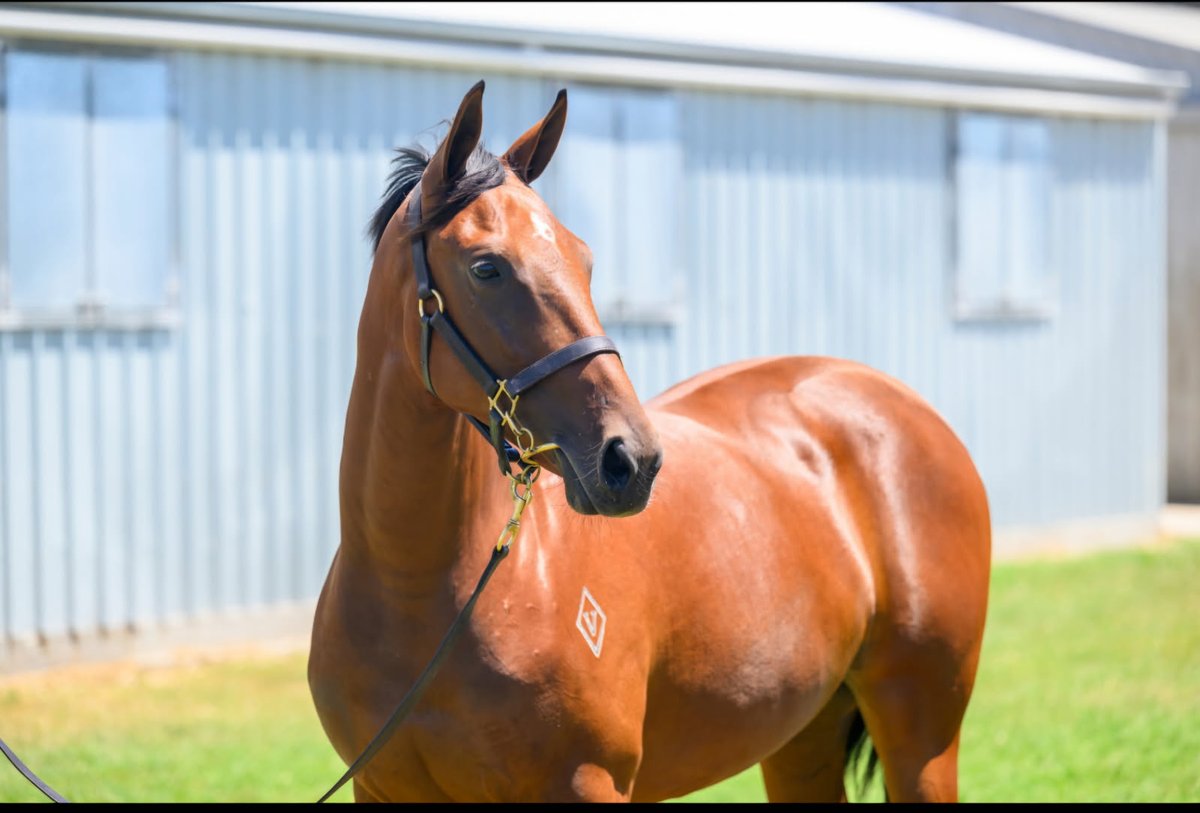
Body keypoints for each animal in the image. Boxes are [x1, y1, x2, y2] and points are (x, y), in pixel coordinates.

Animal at [308, 81, 991, 803]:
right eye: (486, 267)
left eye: (584, 259)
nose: (631, 460)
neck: (419, 593)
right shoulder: (380, 788)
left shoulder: (588, 783)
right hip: (801, 734)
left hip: (921, 738)